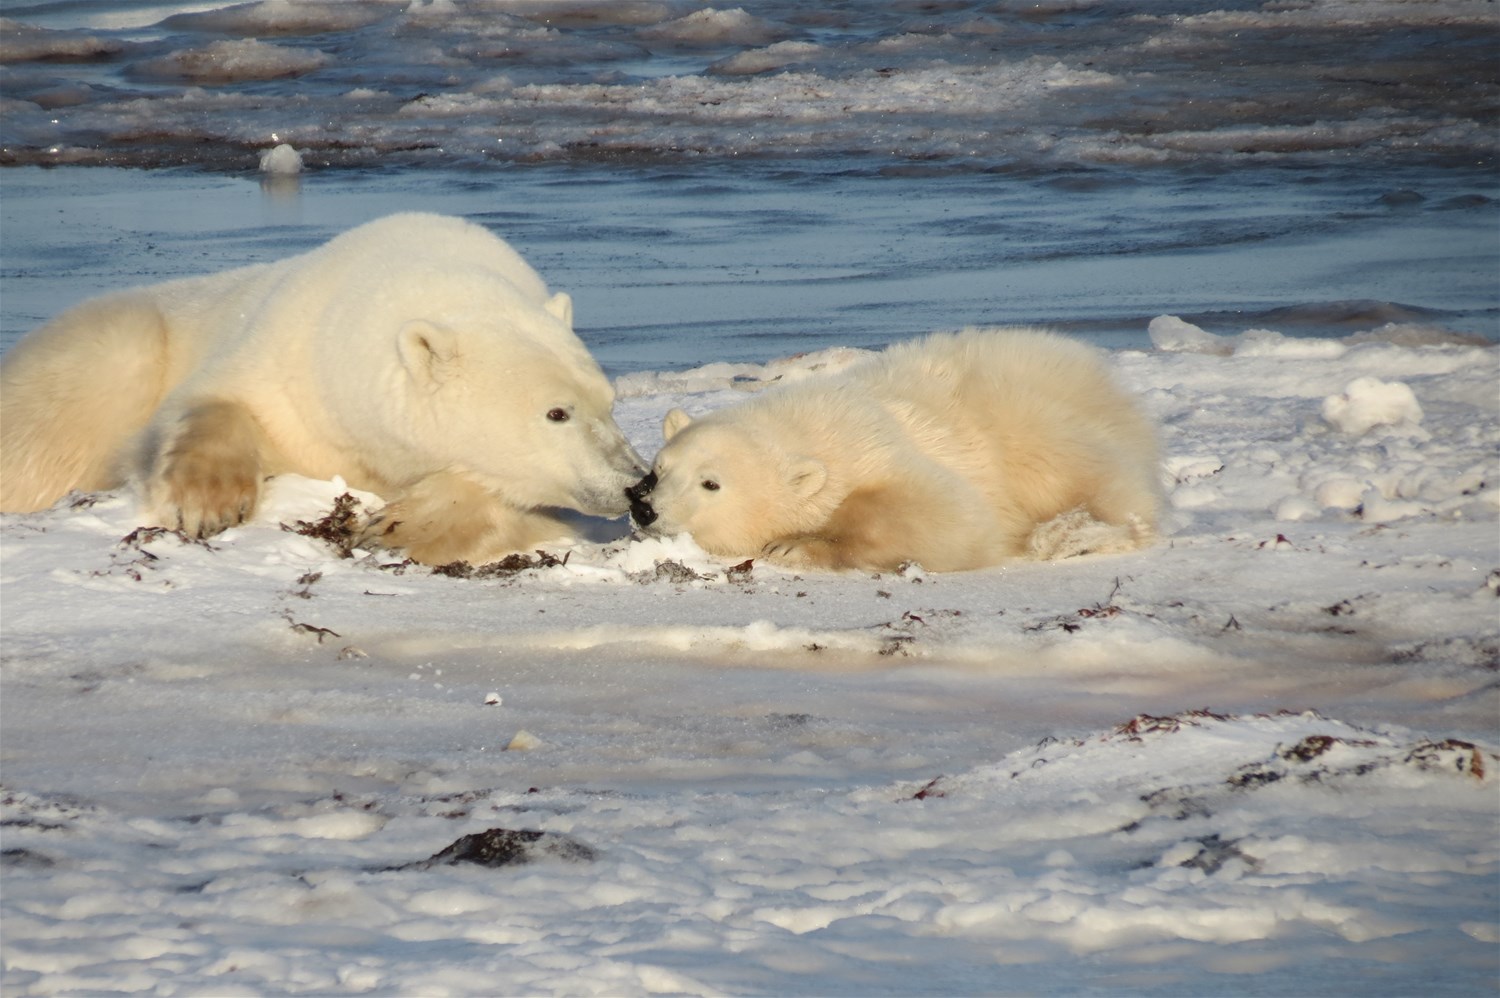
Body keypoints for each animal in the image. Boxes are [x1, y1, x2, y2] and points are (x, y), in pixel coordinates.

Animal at [1, 213, 645, 564]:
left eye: (610, 404)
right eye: (557, 413)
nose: (637, 483)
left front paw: (399, 526)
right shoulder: (286, 359)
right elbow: (214, 403)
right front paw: (206, 504)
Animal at [627, 328, 1152, 567]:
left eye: (711, 483)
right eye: (658, 469)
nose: (645, 509)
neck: (816, 428)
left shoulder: (879, 443)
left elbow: (952, 517)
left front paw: (792, 546)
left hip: (1027, 422)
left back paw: (1073, 534)